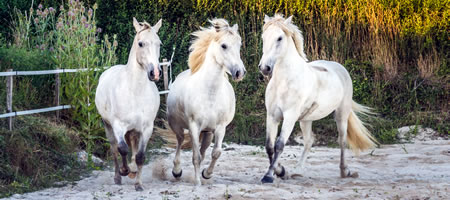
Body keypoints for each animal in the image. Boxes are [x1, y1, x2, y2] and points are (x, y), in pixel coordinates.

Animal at [96, 17, 163, 191]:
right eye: (140, 43)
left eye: (159, 43)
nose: (155, 73)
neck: (135, 92)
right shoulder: (118, 125)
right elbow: (122, 149)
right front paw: (125, 171)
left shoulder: (147, 128)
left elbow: (140, 156)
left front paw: (138, 183)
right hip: (108, 125)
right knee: (114, 148)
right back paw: (118, 176)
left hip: (133, 130)